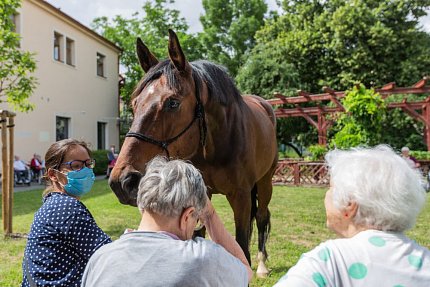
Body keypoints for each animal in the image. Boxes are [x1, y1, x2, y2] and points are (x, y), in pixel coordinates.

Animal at [110, 29, 278, 280]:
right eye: (134, 103)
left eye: (172, 102)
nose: (122, 181)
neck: (216, 145)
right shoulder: (202, 196)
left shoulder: (240, 196)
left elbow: (242, 245)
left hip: (265, 182)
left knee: (261, 217)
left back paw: (263, 264)